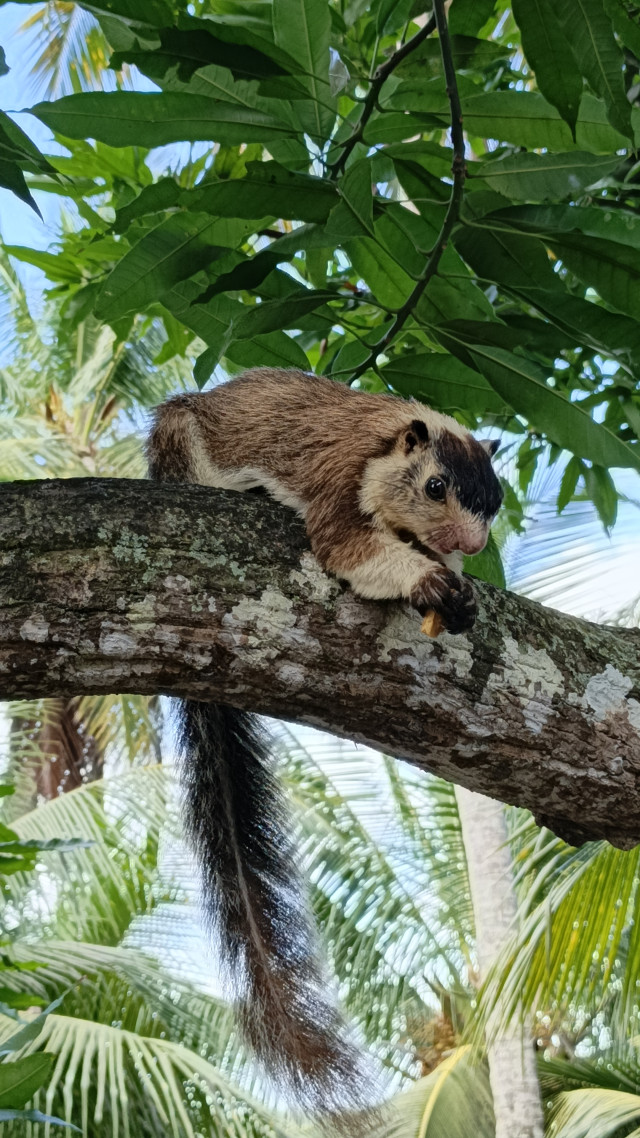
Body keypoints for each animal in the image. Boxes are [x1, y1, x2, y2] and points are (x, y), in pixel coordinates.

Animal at [147, 367, 502, 1115]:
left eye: (496, 500)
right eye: (436, 487)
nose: (470, 545)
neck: (393, 442)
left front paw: (454, 582)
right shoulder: (339, 476)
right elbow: (346, 544)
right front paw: (428, 578)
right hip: (180, 440)